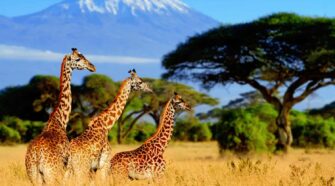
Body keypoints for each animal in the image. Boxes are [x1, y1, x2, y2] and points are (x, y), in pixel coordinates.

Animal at [24, 48, 96, 185]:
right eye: (78, 59)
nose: (92, 67)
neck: (59, 120)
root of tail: (37, 156)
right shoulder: (67, 165)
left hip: (33, 176)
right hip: (52, 174)